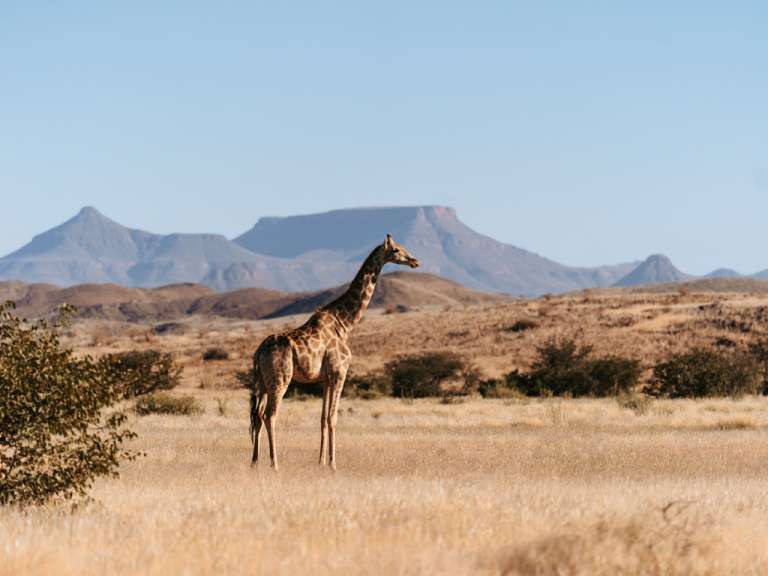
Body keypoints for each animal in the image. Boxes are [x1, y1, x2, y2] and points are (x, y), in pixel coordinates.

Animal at [249, 234, 419, 471]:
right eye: (395, 250)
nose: (414, 261)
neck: (345, 323)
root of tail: (258, 353)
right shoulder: (340, 371)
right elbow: (333, 417)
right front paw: (333, 463)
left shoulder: (326, 378)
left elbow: (322, 418)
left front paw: (320, 461)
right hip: (280, 379)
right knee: (270, 415)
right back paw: (275, 464)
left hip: (262, 382)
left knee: (257, 415)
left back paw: (254, 462)